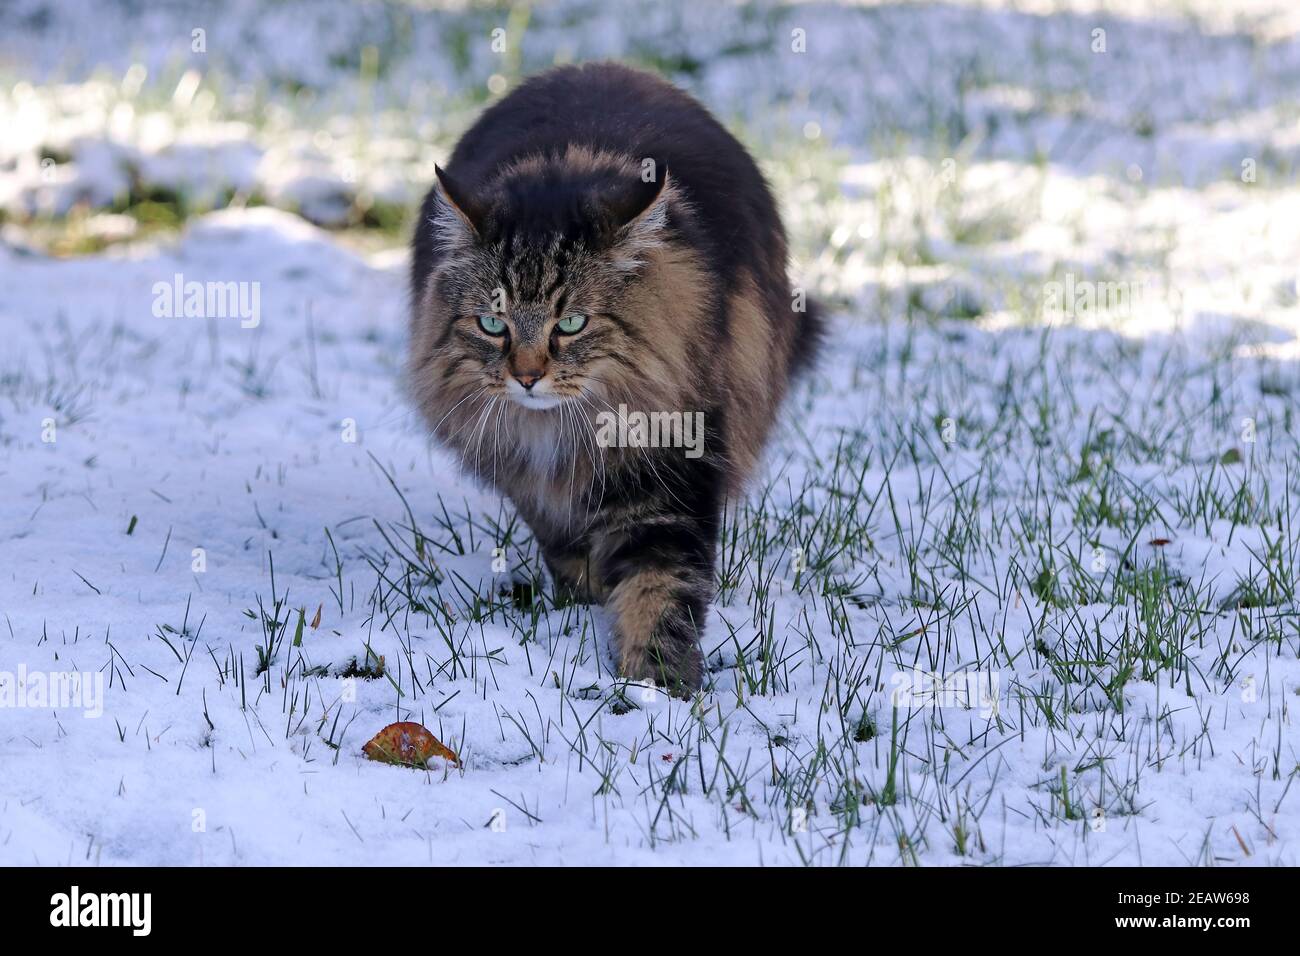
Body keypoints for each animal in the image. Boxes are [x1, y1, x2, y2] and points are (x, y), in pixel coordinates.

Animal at [405, 63, 816, 697]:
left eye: (571, 323)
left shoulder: (672, 473)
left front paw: (657, 687)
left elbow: (659, 590)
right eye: (493, 323)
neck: (571, 433)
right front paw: (588, 603)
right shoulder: (533, 482)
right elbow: (570, 551)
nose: (527, 377)